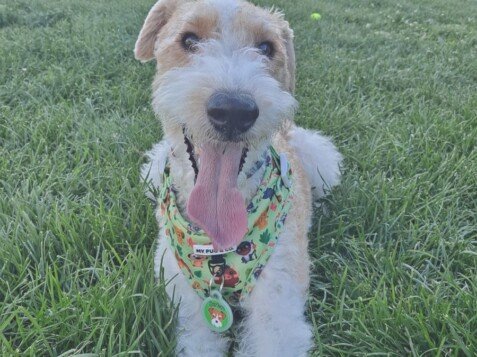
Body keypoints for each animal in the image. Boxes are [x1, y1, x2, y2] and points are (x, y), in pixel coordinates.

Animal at [136, 0, 340, 354]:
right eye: (189, 40)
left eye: (266, 47)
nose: (233, 111)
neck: (217, 249)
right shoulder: (187, 308)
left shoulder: (279, 313)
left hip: (319, 159)